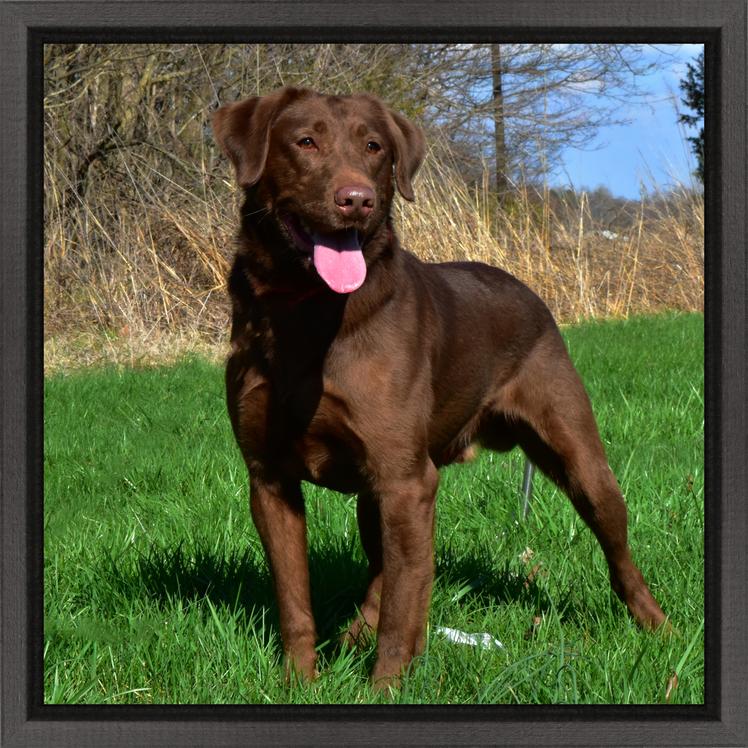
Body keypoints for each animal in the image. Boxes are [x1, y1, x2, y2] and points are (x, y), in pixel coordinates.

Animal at [212, 87, 668, 688]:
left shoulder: (406, 480)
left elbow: (403, 605)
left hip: (576, 455)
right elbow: (296, 599)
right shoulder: (270, 480)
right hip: (379, 490)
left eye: (374, 147)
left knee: (616, 551)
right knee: (389, 569)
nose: (356, 200)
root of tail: (527, 289)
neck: (304, 310)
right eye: (305, 141)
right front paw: (298, 683)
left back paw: (658, 626)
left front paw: (384, 687)